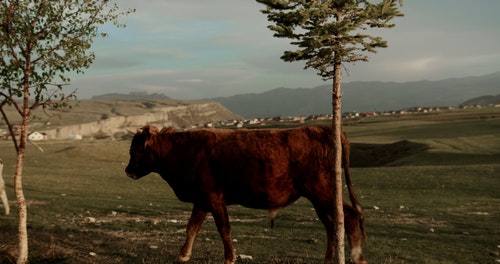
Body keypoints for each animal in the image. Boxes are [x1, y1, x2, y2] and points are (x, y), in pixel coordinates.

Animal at [126, 126, 368, 264]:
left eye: (135, 150)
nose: (128, 170)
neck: (181, 151)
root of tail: (324, 130)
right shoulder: (202, 200)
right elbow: (192, 227)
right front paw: (183, 254)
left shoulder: (214, 198)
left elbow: (224, 228)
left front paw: (229, 258)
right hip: (318, 196)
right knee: (331, 223)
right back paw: (328, 259)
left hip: (323, 190)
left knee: (349, 216)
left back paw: (357, 257)